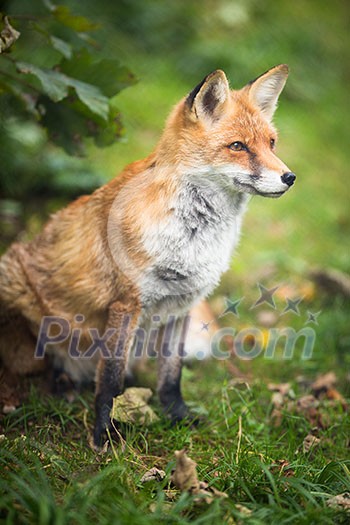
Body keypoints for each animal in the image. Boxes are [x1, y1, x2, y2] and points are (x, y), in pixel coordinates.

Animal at [0, 63, 296, 444]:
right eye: (237, 146)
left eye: (271, 143)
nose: (289, 177)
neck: (193, 237)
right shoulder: (126, 303)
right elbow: (109, 380)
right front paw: (103, 435)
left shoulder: (182, 305)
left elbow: (171, 375)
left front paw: (177, 417)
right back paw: (58, 385)